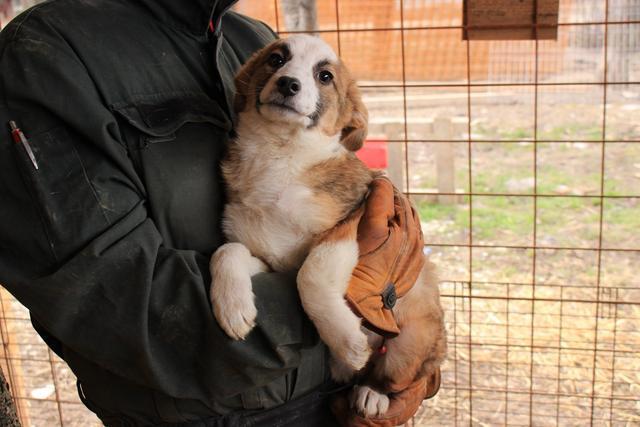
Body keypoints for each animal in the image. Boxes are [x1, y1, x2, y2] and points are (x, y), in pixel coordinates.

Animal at [211, 34, 444, 418]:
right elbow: (228, 250)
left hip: (414, 338)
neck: (281, 154)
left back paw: (372, 393)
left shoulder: (350, 223)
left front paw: (348, 341)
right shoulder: (270, 260)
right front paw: (232, 306)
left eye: (324, 76)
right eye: (276, 59)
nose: (288, 84)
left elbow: (312, 276)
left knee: (394, 375)